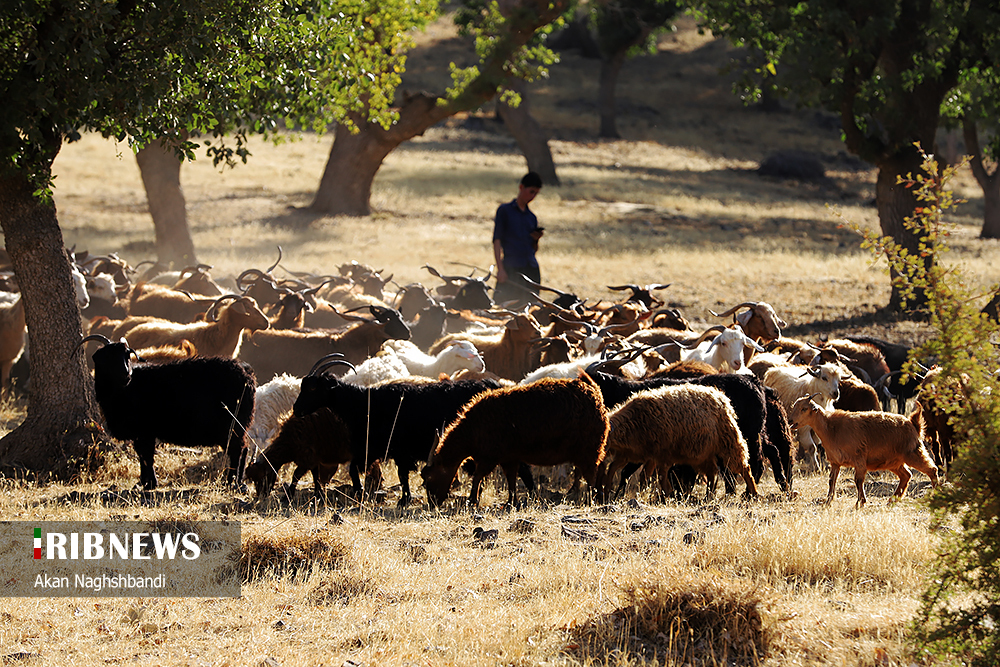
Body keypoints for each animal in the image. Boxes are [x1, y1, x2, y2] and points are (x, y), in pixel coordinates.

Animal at [76, 334, 256, 490]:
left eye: (127, 355)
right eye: (109, 356)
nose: (126, 373)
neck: (127, 388)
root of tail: (246, 372)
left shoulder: (145, 430)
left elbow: (146, 455)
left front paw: (149, 484)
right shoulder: (140, 432)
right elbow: (142, 454)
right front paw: (144, 482)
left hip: (231, 424)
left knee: (237, 450)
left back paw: (231, 482)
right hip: (238, 425)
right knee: (244, 449)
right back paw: (238, 481)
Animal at [788, 394, 936, 508]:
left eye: (804, 408)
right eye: (794, 407)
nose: (790, 420)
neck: (832, 428)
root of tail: (913, 425)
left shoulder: (859, 459)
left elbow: (858, 480)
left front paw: (860, 502)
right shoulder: (835, 462)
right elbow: (832, 481)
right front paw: (828, 501)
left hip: (913, 453)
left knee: (931, 470)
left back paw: (935, 493)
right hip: (895, 462)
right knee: (906, 475)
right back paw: (891, 500)